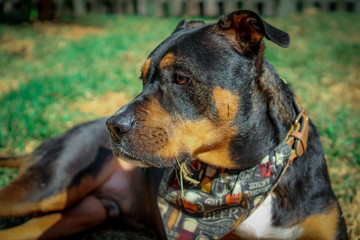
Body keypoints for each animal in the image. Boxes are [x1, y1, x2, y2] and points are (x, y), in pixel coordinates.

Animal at [0, 9, 348, 240]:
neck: (247, 173)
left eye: (181, 78)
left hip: (79, 211)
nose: (112, 126)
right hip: (50, 184)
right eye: (142, 78)